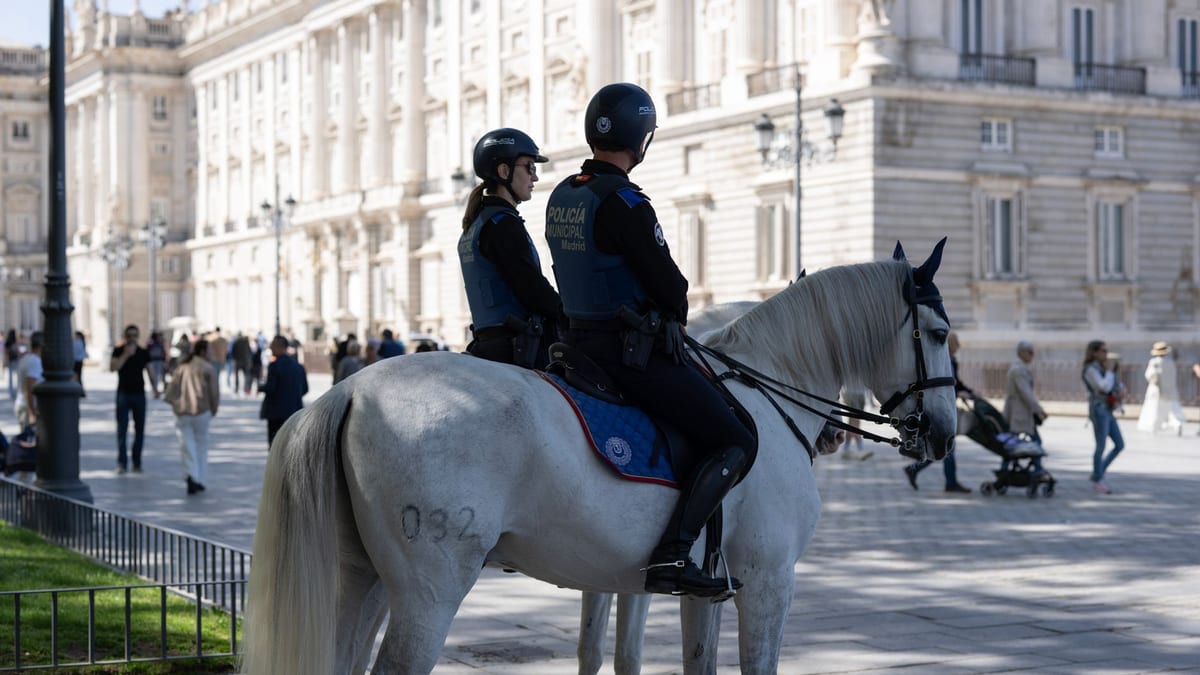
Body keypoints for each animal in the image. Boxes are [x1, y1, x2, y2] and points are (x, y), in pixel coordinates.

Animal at [241, 242, 957, 675]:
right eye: (941, 332)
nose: (945, 434)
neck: (764, 389)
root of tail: (351, 389)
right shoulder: (768, 581)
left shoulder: (691, 588)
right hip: (427, 589)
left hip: (358, 577)